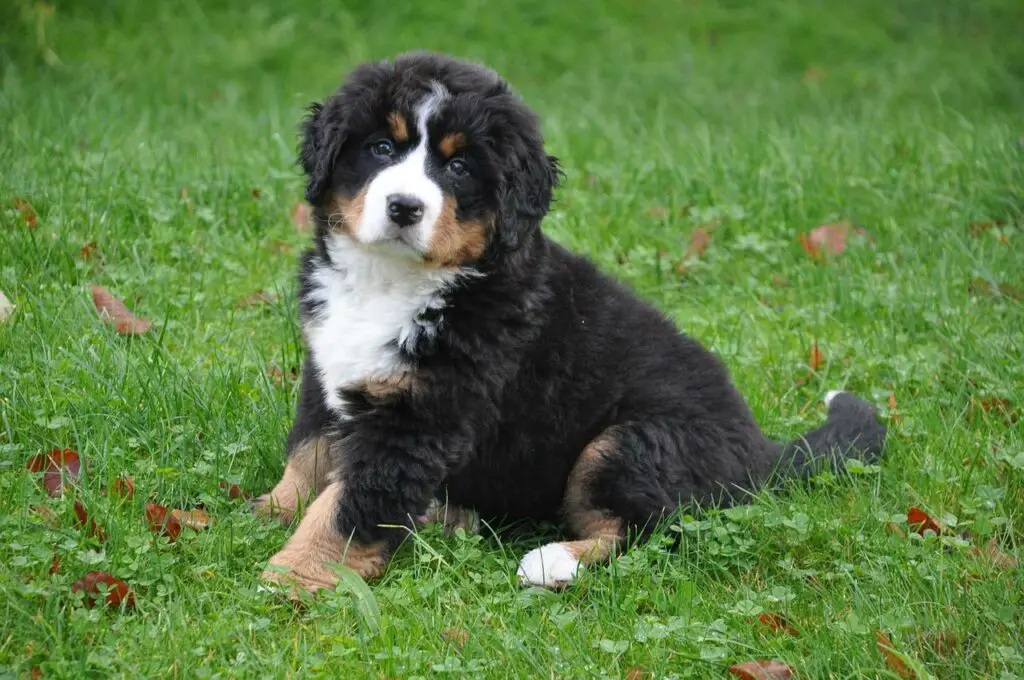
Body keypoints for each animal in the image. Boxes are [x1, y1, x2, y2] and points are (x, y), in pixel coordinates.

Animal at [251, 53, 884, 593]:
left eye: (458, 166)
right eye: (381, 147)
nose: (404, 207)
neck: (389, 281)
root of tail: (761, 453)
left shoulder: (419, 415)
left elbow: (349, 504)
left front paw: (295, 573)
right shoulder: (328, 372)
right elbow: (310, 452)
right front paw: (271, 509)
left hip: (628, 443)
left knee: (653, 530)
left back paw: (554, 560)